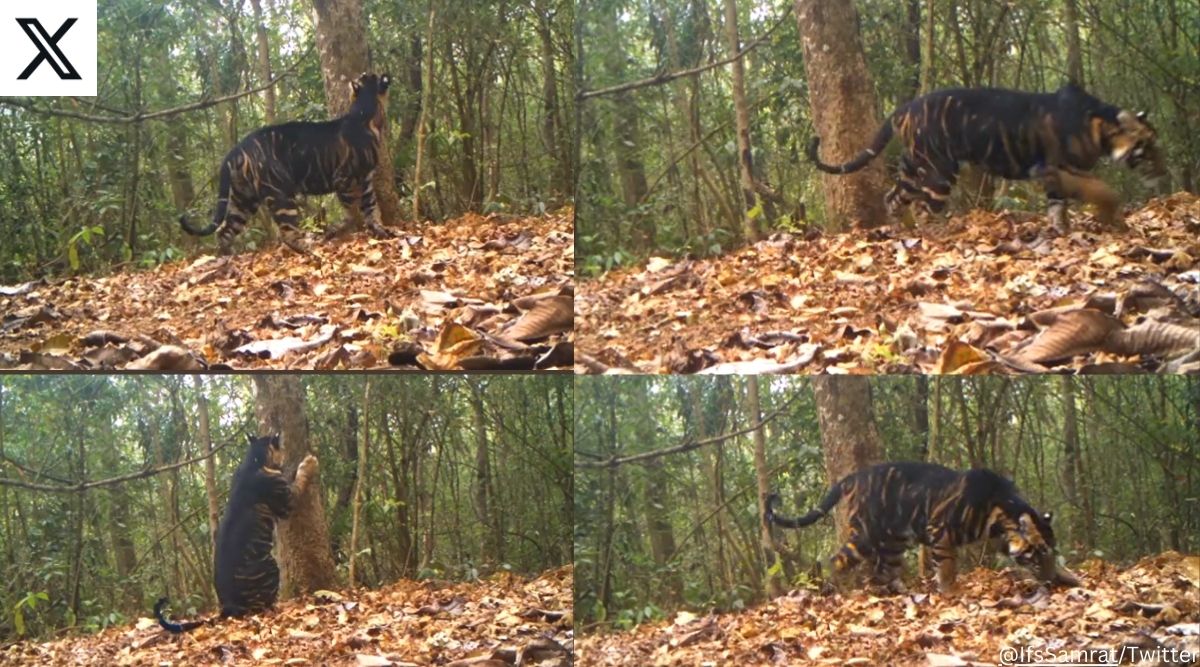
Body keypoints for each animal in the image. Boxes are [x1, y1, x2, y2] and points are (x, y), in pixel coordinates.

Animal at [154, 434, 319, 633]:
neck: (254, 460)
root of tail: (227, 606)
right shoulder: (286, 500)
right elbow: (299, 481)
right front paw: (309, 463)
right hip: (270, 566)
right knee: (262, 605)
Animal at [180, 72, 393, 255]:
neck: (366, 112)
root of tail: (235, 149)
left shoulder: (366, 179)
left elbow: (370, 207)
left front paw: (380, 230)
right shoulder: (344, 179)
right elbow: (352, 211)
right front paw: (339, 230)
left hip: (243, 200)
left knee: (225, 231)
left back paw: (229, 258)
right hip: (281, 194)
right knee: (287, 233)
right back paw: (310, 249)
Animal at [763, 463, 1056, 595]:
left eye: (1052, 551)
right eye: (1039, 552)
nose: (1052, 579)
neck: (1000, 514)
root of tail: (852, 477)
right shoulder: (940, 531)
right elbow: (947, 567)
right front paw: (951, 593)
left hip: (893, 542)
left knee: (884, 570)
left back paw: (896, 594)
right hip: (866, 536)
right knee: (836, 560)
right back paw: (840, 592)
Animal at [806, 83, 1161, 231]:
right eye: (1147, 147)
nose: (1163, 172)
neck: (1099, 128)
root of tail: (903, 108)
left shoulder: (1057, 174)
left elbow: (1064, 203)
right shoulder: (1054, 168)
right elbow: (1094, 192)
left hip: (913, 166)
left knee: (893, 197)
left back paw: (903, 229)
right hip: (939, 171)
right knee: (925, 208)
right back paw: (939, 236)